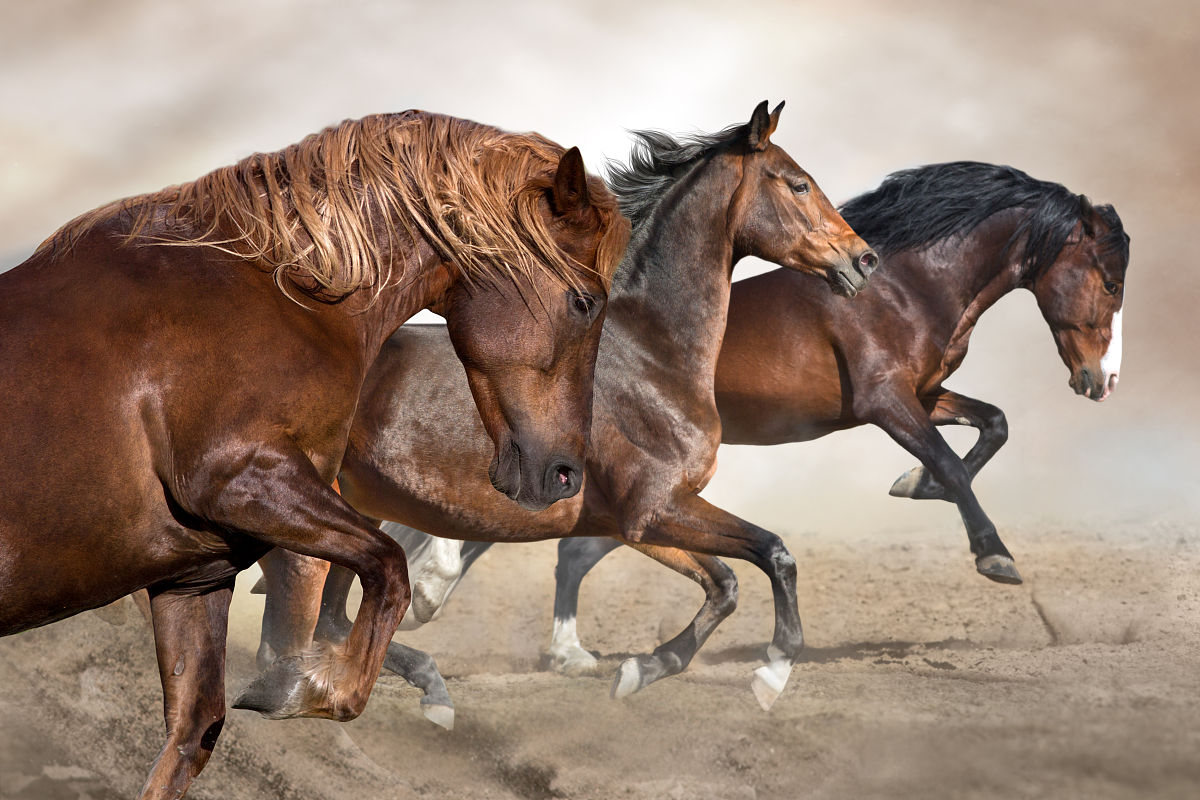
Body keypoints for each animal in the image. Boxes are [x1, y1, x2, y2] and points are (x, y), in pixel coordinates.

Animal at [0, 110, 628, 800]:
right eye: (584, 301)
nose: (563, 475)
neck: (284, 293)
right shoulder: (244, 479)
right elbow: (386, 570)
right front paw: (308, 685)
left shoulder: (194, 576)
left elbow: (193, 731)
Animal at [254, 101, 879, 726]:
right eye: (799, 184)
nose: (864, 259)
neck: (648, 353)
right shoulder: (654, 509)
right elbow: (774, 553)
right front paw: (773, 673)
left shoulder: (636, 523)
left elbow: (724, 585)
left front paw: (639, 671)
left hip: (363, 508)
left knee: (328, 617)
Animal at [348, 161, 1131, 683]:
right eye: (1109, 278)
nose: (1101, 381)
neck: (906, 286)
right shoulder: (887, 402)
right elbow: (951, 460)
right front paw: (994, 556)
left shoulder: (925, 394)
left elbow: (992, 425)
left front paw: (911, 487)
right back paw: (454, 600)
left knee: (561, 545)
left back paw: (555, 645)